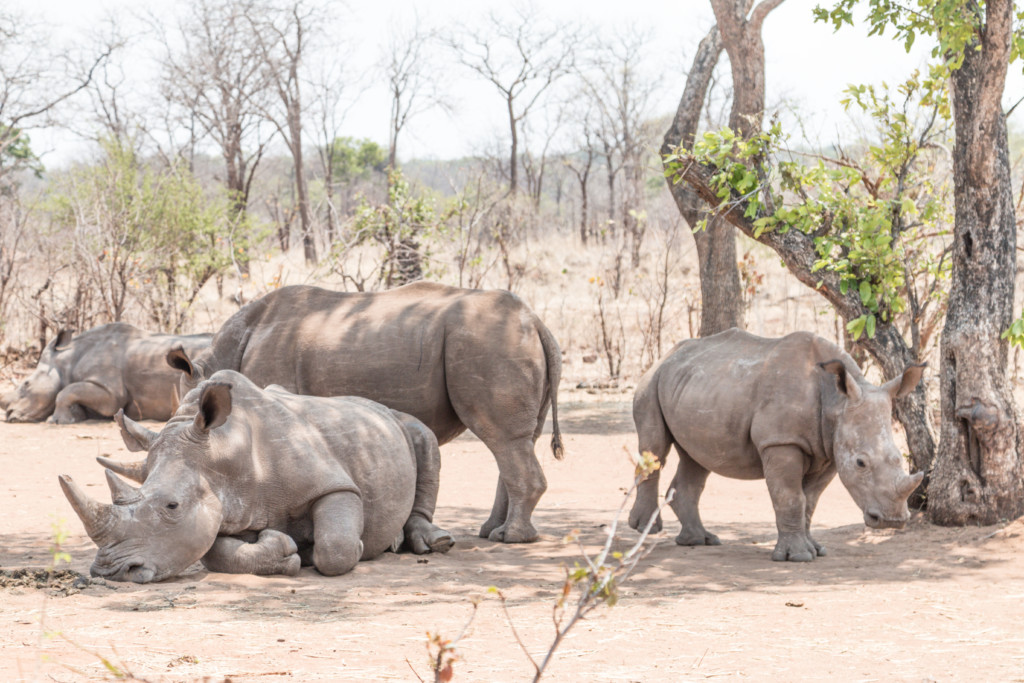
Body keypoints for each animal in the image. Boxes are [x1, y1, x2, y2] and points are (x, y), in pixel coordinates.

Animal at [1, 325, 209, 423]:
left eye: (26, 384)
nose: (10, 414)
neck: (67, 359)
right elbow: (70, 391)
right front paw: (77, 415)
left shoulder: (110, 392)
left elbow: (66, 391)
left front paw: (57, 420)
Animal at [58, 370, 452, 585]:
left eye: (172, 506)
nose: (112, 572)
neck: (224, 451)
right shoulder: (221, 504)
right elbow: (217, 555)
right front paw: (285, 552)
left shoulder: (334, 485)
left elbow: (336, 547)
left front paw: (349, 548)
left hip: (397, 420)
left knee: (424, 437)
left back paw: (427, 542)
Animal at [168, 282, 569, 544]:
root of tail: (536, 322)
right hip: (504, 342)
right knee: (516, 443)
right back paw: (492, 532)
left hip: (489, 343)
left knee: (503, 440)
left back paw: (511, 538)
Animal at [626, 329, 925, 561]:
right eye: (861, 463)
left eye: (899, 459)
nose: (892, 521)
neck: (836, 402)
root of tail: (667, 355)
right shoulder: (781, 442)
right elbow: (790, 496)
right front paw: (798, 556)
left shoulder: (830, 449)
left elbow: (810, 501)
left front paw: (816, 550)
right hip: (651, 381)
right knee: (655, 448)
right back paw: (645, 530)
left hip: (697, 388)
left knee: (697, 458)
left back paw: (700, 540)